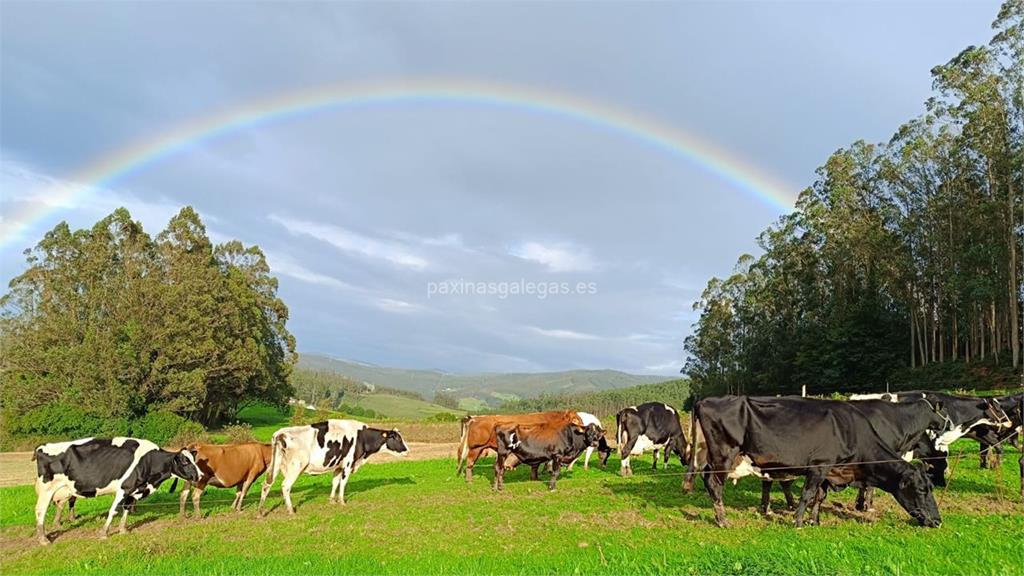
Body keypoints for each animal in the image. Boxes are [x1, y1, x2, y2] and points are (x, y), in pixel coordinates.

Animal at [33, 434, 200, 541]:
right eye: (185, 461)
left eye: (193, 459)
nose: (199, 475)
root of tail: (43, 446)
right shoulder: (124, 488)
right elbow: (113, 511)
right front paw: (104, 533)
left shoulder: (133, 490)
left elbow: (126, 508)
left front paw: (123, 530)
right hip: (47, 489)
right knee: (41, 510)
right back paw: (43, 539)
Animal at [256, 414, 407, 512]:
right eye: (396, 438)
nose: (407, 450)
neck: (362, 437)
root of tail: (281, 433)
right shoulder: (348, 464)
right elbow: (343, 483)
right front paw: (342, 501)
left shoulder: (338, 466)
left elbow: (335, 482)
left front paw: (332, 500)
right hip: (296, 466)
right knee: (285, 486)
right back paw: (290, 509)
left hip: (276, 464)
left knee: (267, 484)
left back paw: (261, 511)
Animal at [456, 407, 585, 479]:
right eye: (576, 420)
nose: (584, 428)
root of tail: (476, 419)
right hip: (476, 448)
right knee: (469, 462)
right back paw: (469, 480)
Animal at [684, 397, 937, 528]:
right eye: (922, 490)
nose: (938, 521)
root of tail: (705, 400)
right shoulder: (819, 466)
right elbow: (807, 495)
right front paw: (797, 522)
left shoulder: (830, 470)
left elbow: (819, 497)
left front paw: (814, 521)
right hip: (724, 455)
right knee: (714, 484)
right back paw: (723, 520)